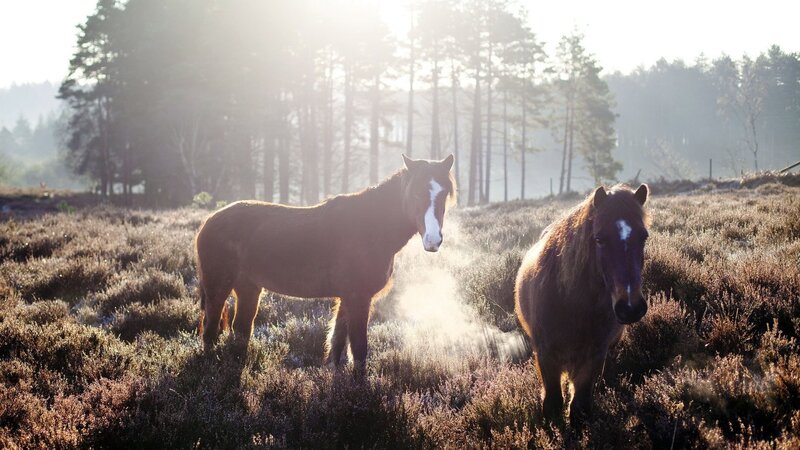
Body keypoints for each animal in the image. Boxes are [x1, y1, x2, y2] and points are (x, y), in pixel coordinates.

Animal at [195, 154, 456, 372]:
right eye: (416, 193)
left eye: (444, 194)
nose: (433, 240)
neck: (370, 226)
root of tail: (208, 222)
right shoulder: (358, 298)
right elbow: (359, 349)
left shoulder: (348, 298)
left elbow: (339, 342)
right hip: (218, 288)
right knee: (210, 332)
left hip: (248, 289)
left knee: (240, 331)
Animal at [514, 184, 650, 423]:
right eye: (599, 239)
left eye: (643, 237)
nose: (630, 307)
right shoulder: (546, 356)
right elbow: (552, 404)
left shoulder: (594, 356)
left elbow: (580, 407)